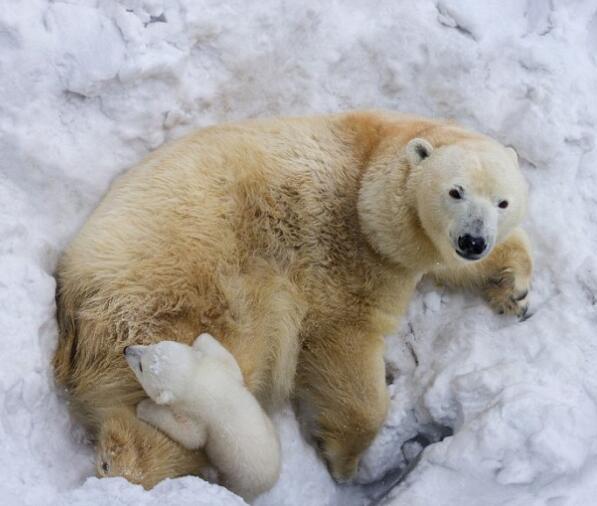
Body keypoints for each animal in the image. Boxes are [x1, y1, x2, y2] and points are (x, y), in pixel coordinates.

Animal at [122, 332, 280, 502]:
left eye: (141, 367)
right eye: (153, 345)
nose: (126, 349)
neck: (200, 383)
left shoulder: (199, 415)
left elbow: (193, 437)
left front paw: (144, 407)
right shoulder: (224, 375)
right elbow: (231, 364)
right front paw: (201, 338)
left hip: (242, 479)